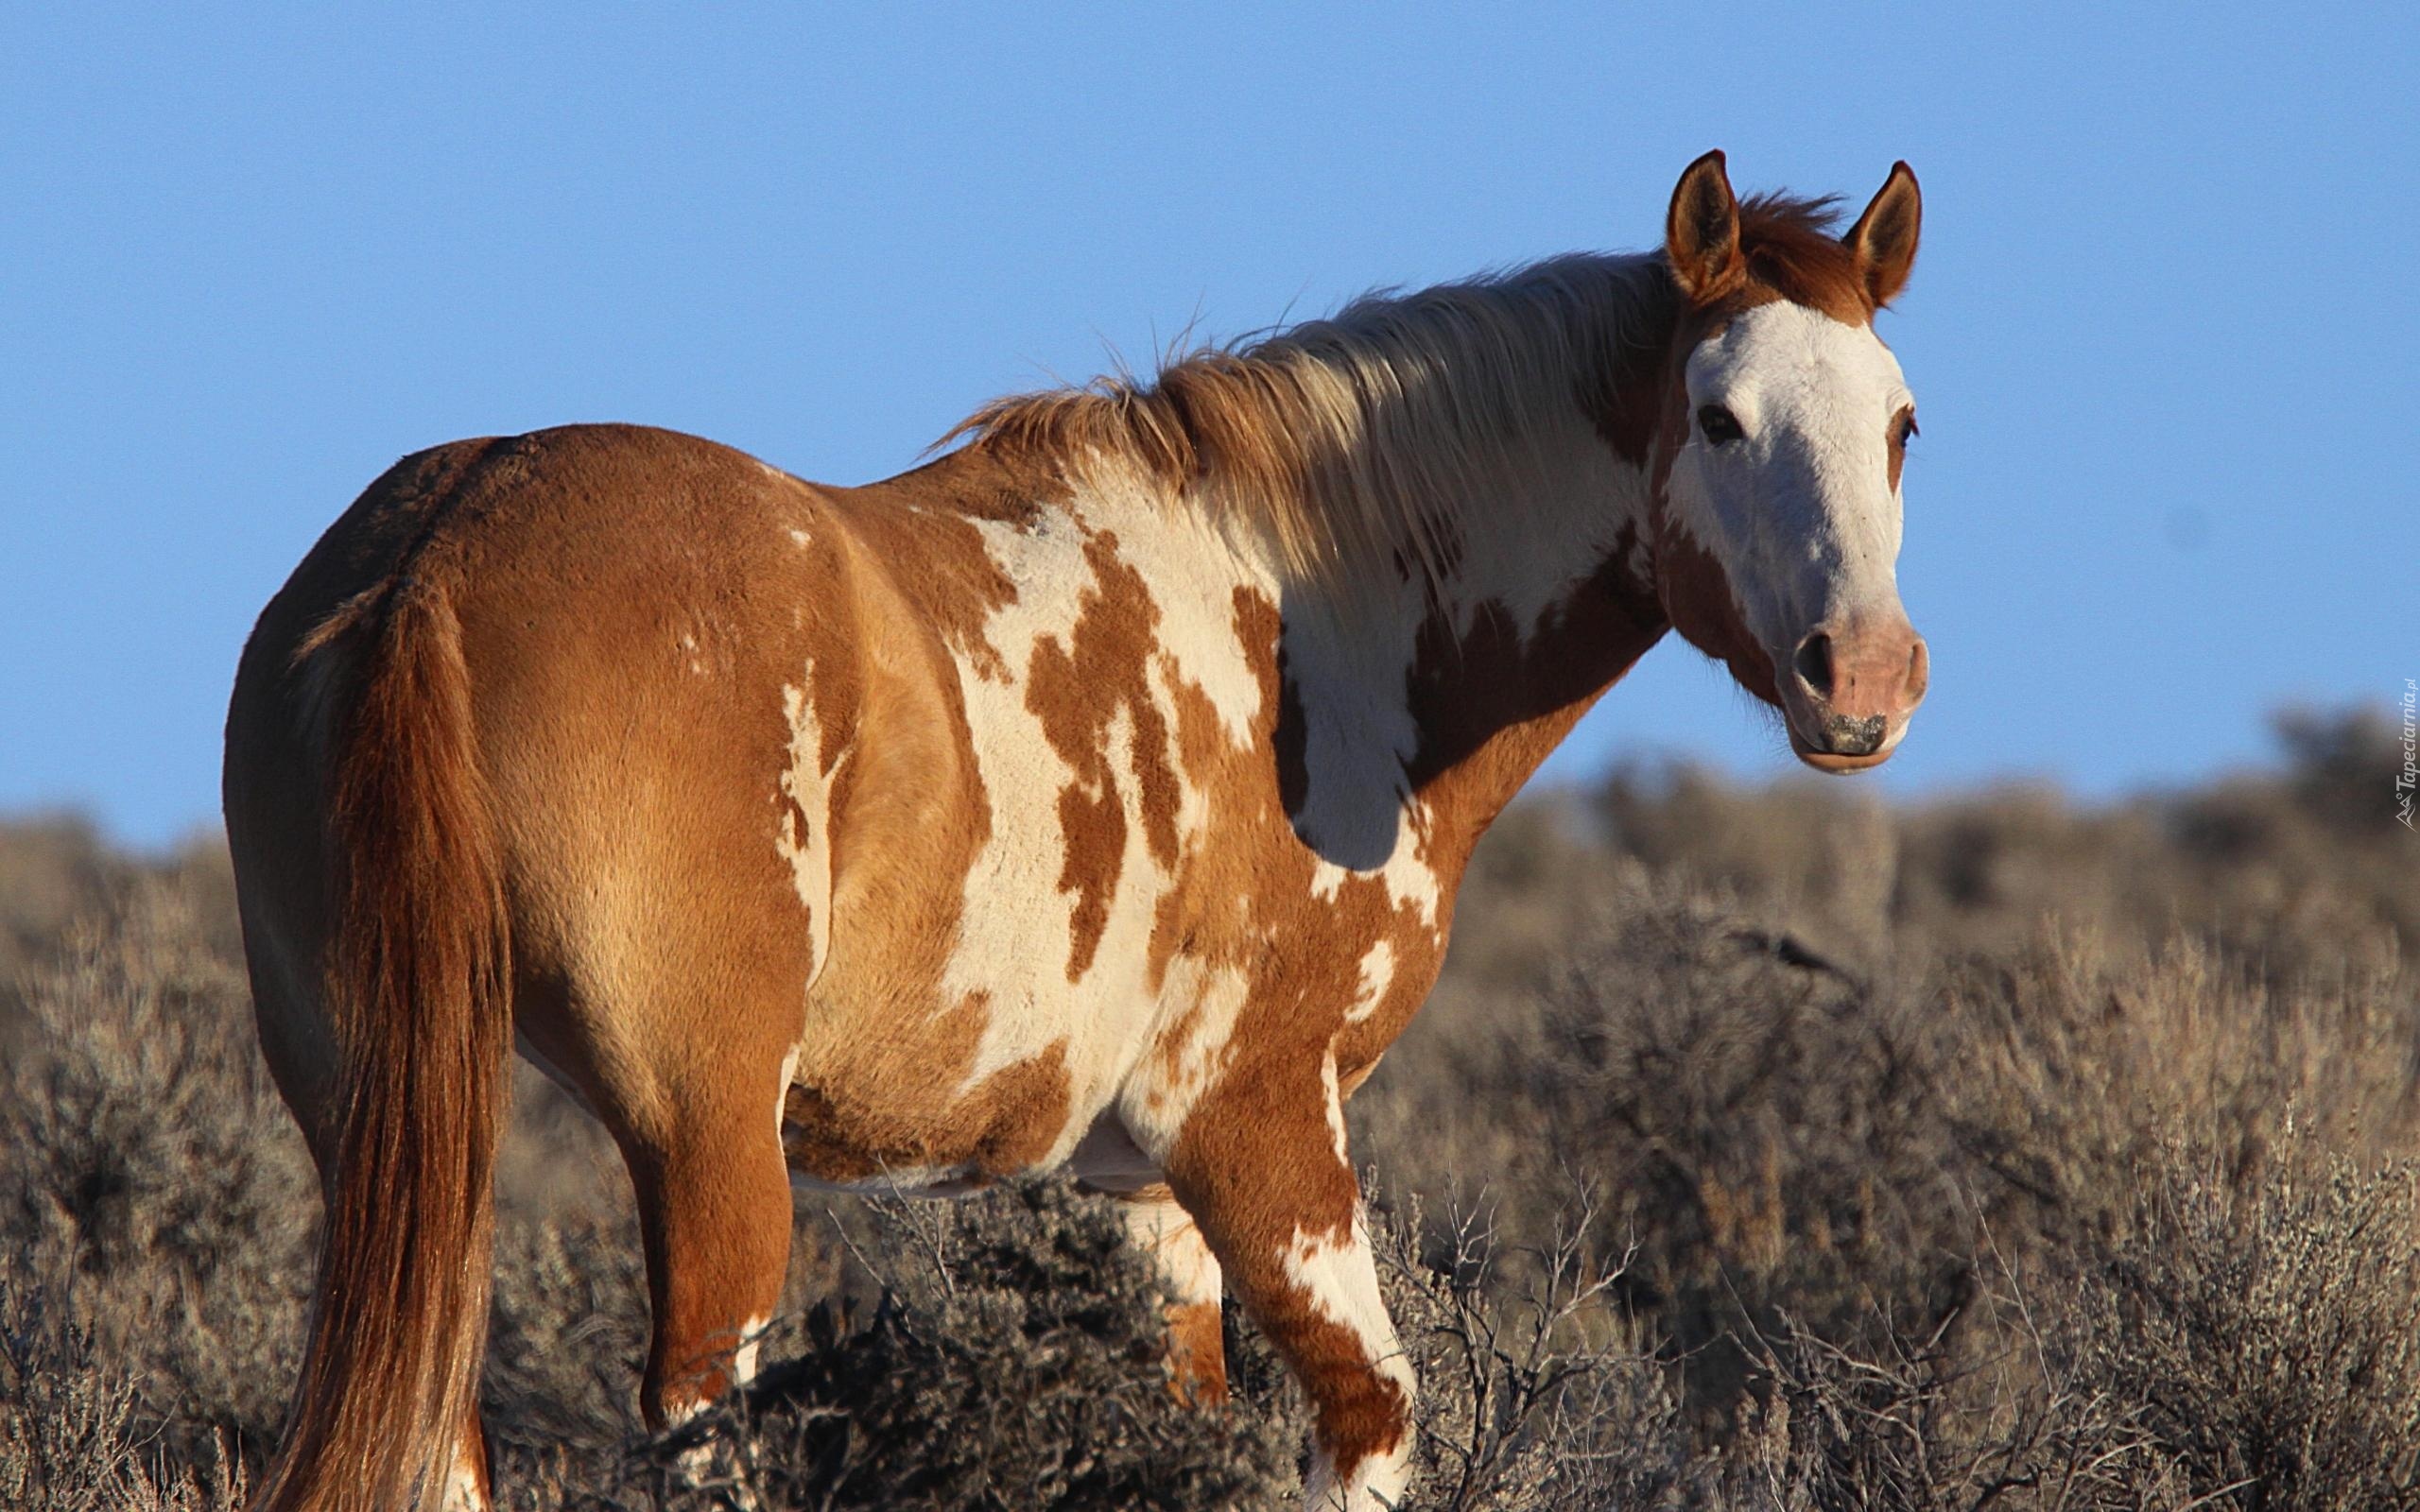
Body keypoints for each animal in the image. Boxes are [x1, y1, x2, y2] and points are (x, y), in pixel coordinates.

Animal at [227, 150, 1926, 1509]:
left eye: (1904, 423)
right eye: (1717, 416)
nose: (1864, 676)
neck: (1316, 624)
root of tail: (437, 558)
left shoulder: (1142, 1195)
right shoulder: (1257, 1125)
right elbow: (1371, 1422)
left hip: (387, 1114)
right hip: (703, 1136)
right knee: (701, 1418)